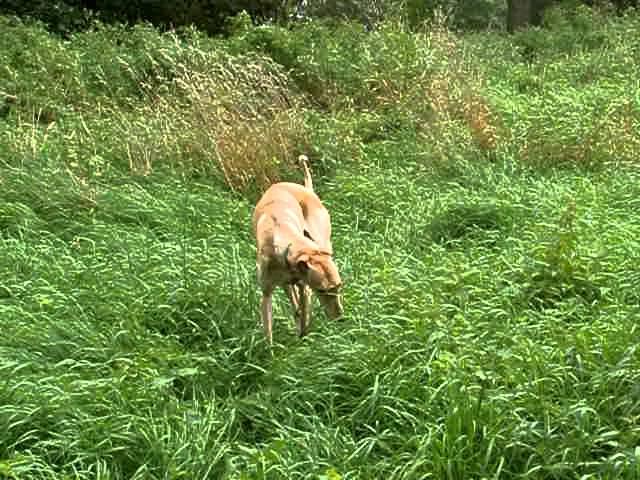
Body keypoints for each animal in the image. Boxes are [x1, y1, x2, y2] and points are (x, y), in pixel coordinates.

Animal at [254, 156, 344, 344]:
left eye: (339, 286)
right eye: (322, 290)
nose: (340, 319)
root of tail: (306, 189)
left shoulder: (304, 285)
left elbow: (304, 315)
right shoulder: (266, 293)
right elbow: (268, 333)